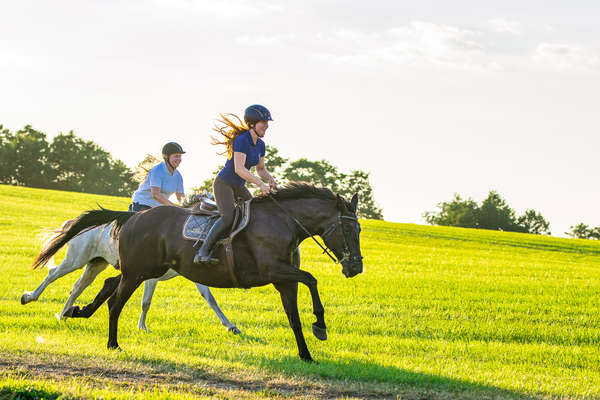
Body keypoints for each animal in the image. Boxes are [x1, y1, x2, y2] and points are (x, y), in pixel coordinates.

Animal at [21, 219, 241, 334]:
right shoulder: (150, 279)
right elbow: (146, 302)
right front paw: (142, 327)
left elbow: (210, 299)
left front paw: (231, 326)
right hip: (76, 260)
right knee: (53, 275)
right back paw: (29, 297)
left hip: (95, 264)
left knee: (77, 287)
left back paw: (64, 315)